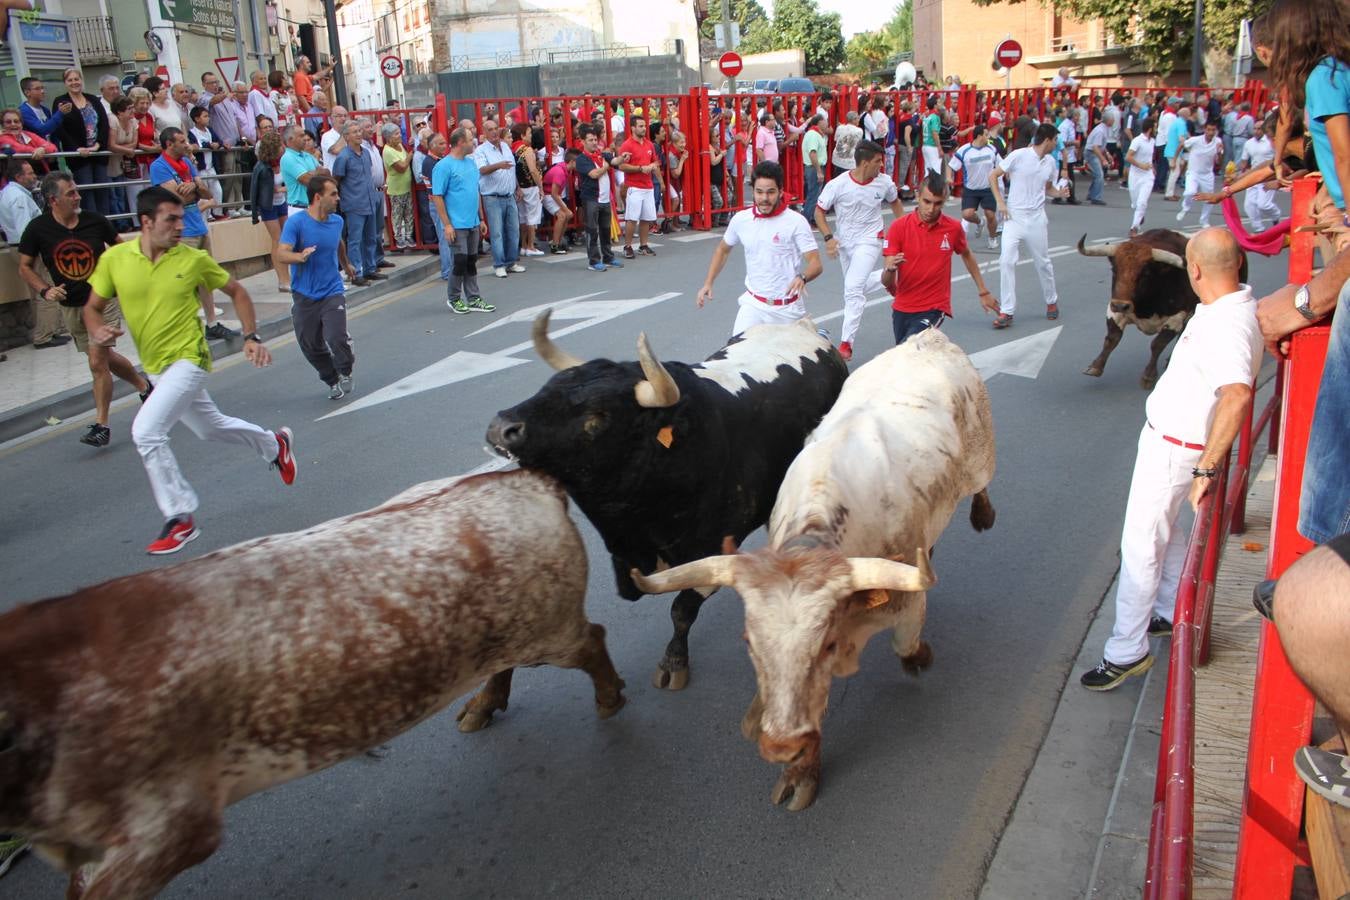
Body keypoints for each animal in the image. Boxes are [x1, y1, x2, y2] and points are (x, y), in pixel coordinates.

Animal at [0, 472, 621, 900]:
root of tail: (522, 479)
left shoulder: (171, 831)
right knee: (505, 664)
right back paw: (482, 706)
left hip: (550, 629)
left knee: (592, 641)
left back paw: (609, 699)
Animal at [486, 313, 842, 696]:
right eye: (548, 386)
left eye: (597, 417)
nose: (501, 426)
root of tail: (803, 327)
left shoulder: (709, 549)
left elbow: (681, 609)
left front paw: (673, 663)